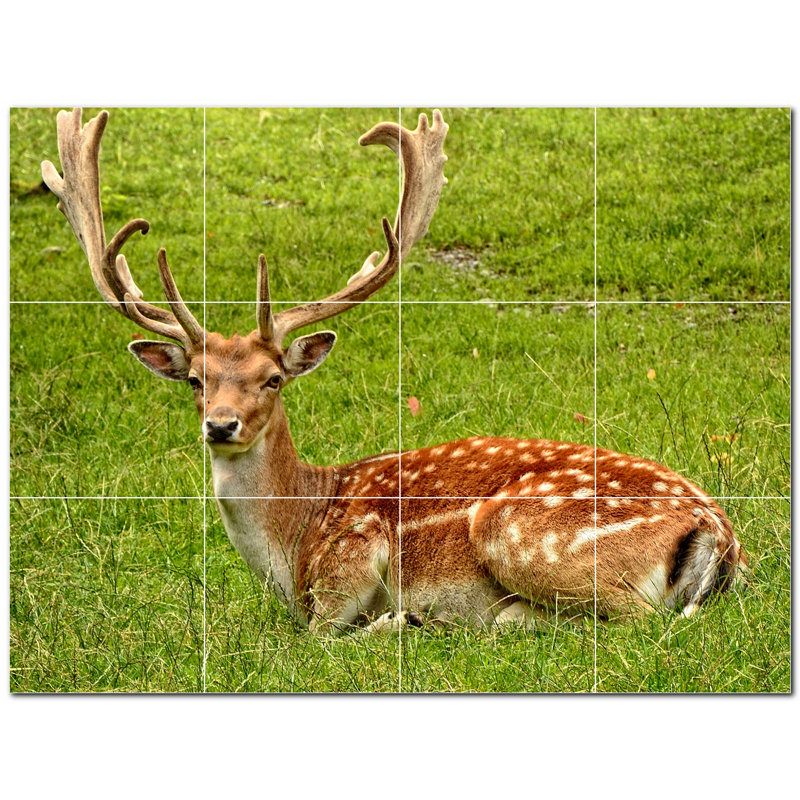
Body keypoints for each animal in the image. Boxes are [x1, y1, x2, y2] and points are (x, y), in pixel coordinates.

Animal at [42, 107, 746, 635]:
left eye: (274, 378)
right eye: (196, 380)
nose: (221, 424)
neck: (294, 542)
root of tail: (720, 533)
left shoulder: (350, 558)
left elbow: (325, 632)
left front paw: (397, 619)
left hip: (515, 531)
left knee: (635, 618)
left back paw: (473, 618)